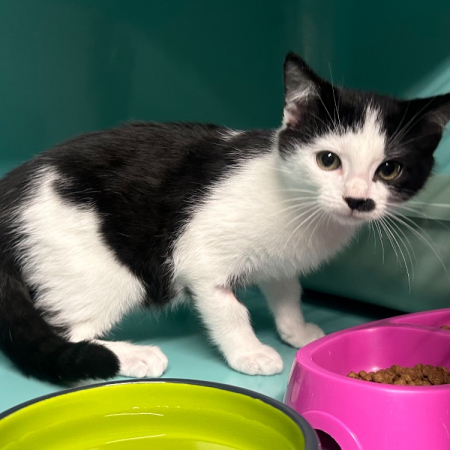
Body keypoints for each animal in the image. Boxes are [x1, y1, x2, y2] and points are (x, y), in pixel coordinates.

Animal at [0, 52, 449, 384]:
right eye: (328, 160)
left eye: (389, 170)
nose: (357, 200)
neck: (300, 206)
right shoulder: (196, 259)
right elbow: (230, 309)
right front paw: (249, 352)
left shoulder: (281, 262)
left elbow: (288, 291)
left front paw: (295, 330)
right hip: (99, 270)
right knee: (69, 330)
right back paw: (132, 356)